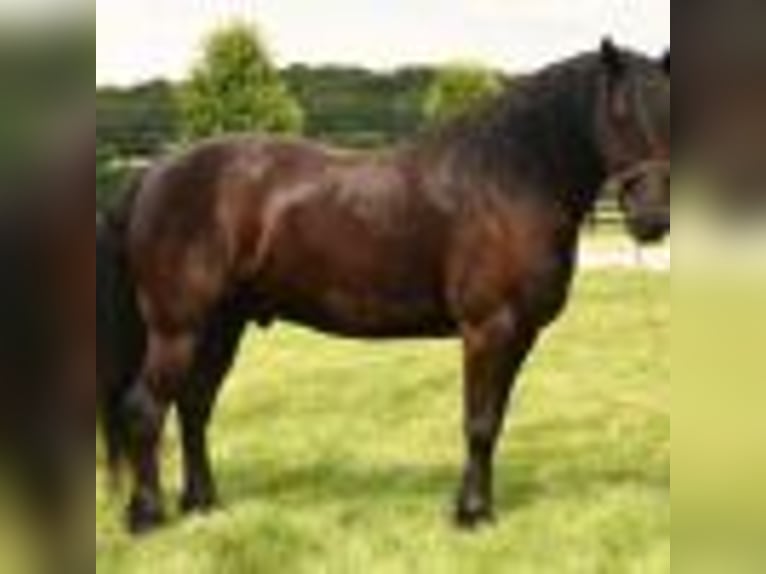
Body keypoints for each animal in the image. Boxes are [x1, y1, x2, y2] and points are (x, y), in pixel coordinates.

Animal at [103, 39, 670, 533]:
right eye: (620, 113)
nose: (653, 219)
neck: (509, 180)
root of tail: (154, 172)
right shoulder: (488, 328)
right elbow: (479, 422)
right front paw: (472, 515)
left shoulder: (519, 334)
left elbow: (493, 423)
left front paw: (476, 509)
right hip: (178, 328)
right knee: (145, 409)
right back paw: (147, 517)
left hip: (222, 326)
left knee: (194, 407)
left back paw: (204, 505)